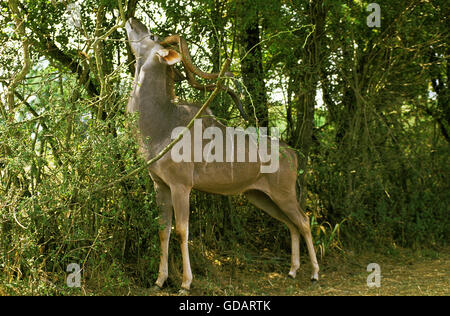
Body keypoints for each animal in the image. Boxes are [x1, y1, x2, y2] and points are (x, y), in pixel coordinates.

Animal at [125, 18, 318, 292]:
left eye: (151, 35)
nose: (131, 19)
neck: (162, 123)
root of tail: (293, 154)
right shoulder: (160, 184)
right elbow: (163, 230)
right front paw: (159, 280)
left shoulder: (181, 186)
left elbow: (182, 231)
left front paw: (185, 283)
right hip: (261, 197)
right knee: (291, 223)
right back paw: (292, 271)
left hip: (284, 195)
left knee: (304, 220)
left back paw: (314, 273)